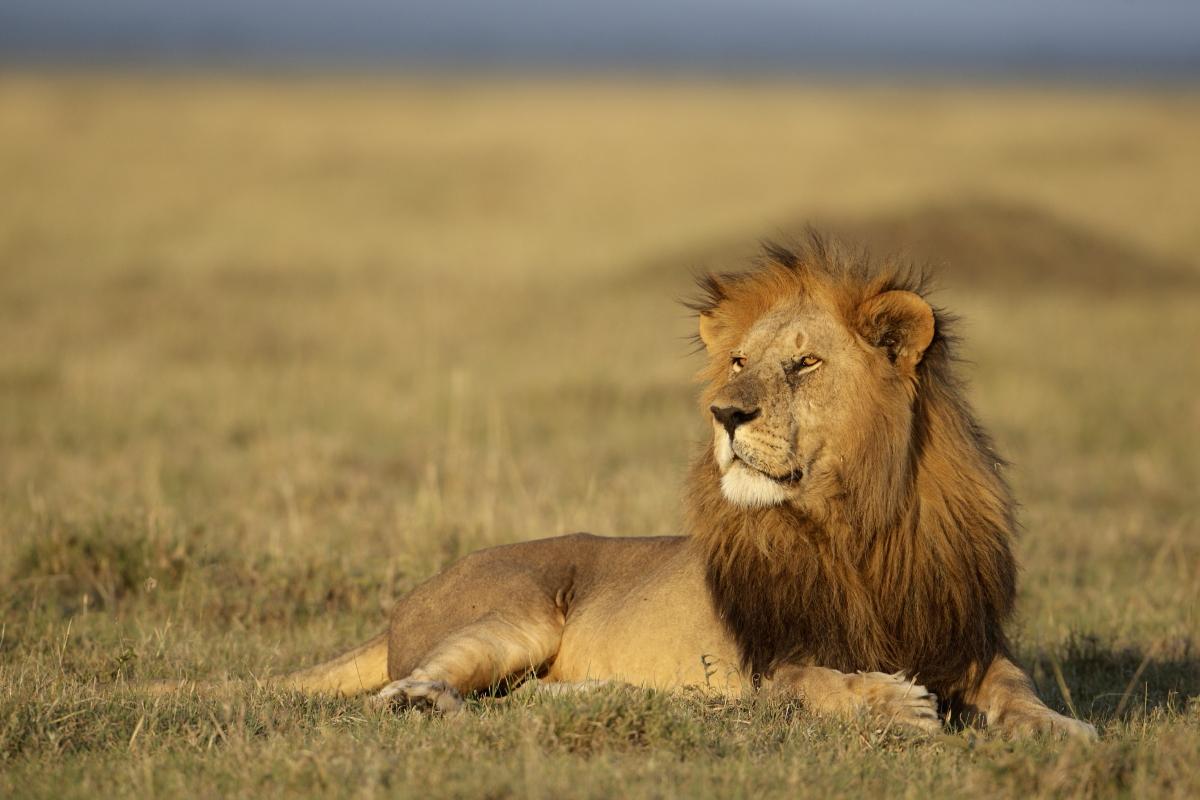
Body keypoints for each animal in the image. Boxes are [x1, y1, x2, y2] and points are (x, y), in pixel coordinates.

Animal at [160, 237, 1096, 740]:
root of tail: (406, 602)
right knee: (411, 685)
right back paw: (432, 702)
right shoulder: (773, 658)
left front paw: (1069, 729)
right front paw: (893, 702)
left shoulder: (962, 635)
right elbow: (821, 682)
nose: (725, 414)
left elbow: (1017, 688)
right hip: (517, 610)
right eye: (738, 362)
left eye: (804, 364)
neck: (856, 523)